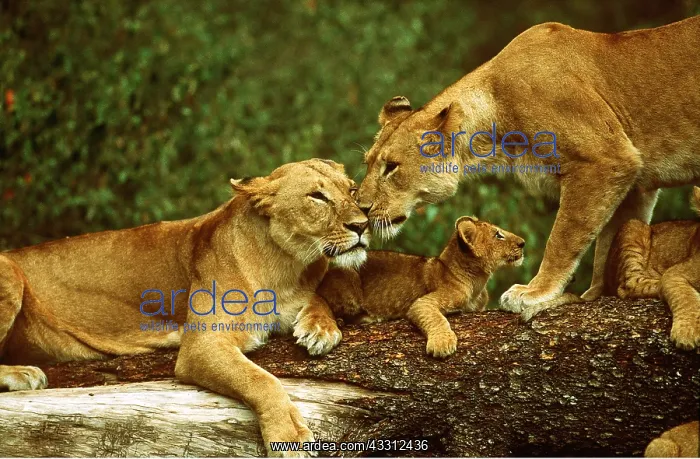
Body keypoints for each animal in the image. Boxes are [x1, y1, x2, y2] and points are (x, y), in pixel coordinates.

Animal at [0, 158, 369, 456]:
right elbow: (262, 381)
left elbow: (318, 299)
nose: (362, 225)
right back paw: (22, 374)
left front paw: (320, 328)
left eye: (352, 189)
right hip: (11, 274)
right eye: (317, 196)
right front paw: (289, 437)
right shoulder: (203, 345)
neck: (287, 266)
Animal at [318, 216, 527, 357]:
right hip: (349, 279)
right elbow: (436, 318)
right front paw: (442, 343)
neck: (478, 281)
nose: (523, 243)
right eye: (498, 235)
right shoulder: (423, 303)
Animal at [354, 16, 700, 322]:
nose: (361, 207)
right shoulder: (637, 182)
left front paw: (535, 292)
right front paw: (597, 295)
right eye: (368, 163)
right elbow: (612, 242)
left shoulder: (607, 159)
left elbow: (564, 236)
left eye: (391, 167)